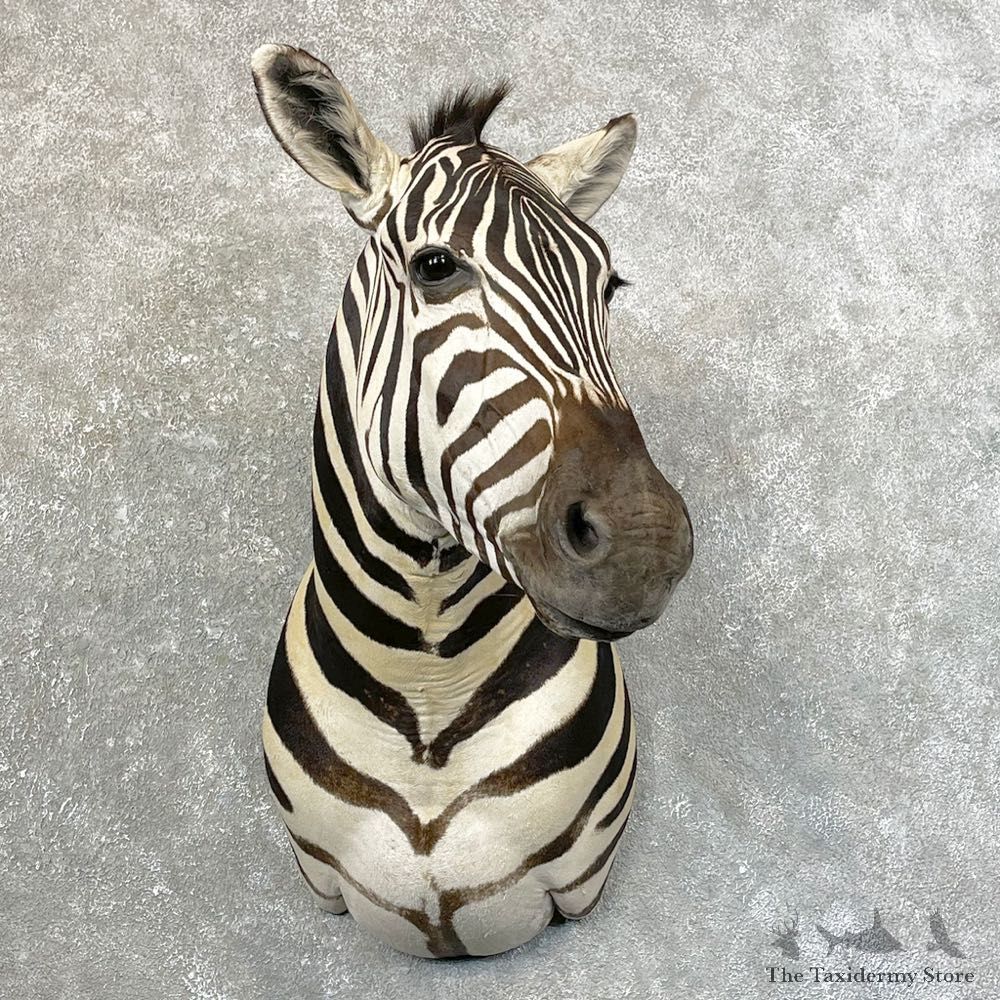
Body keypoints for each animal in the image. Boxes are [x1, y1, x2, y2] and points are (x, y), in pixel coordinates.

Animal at [251, 44, 694, 958]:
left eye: (610, 286)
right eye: (434, 267)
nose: (647, 543)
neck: (430, 696)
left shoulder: (579, 885)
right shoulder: (320, 879)